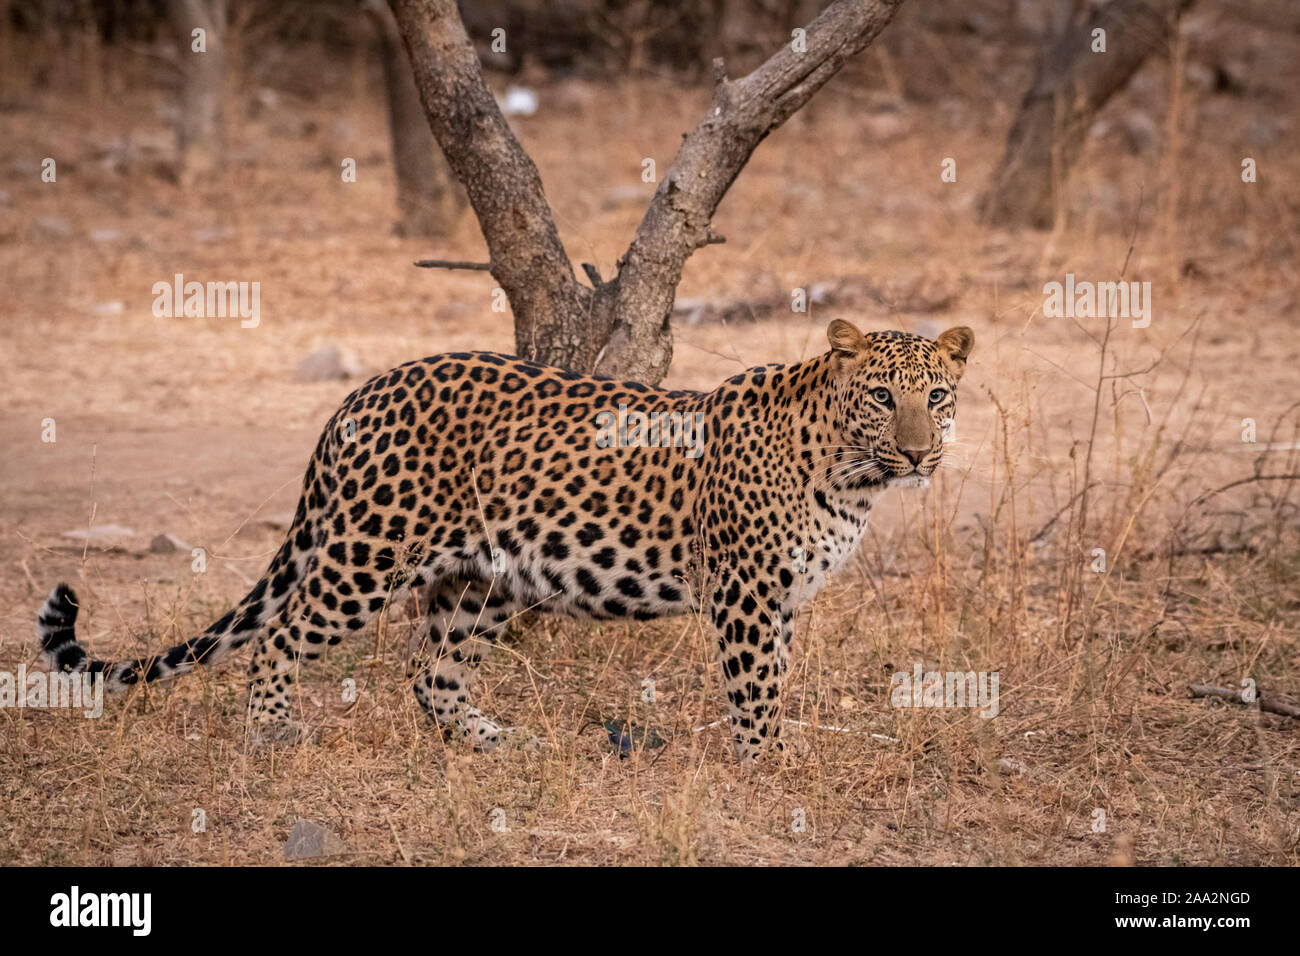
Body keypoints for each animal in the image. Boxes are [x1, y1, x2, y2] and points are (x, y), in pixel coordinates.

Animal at [35, 321, 972, 764]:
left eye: (937, 396)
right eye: (882, 396)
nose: (920, 453)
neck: (850, 474)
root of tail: (359, 393)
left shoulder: (780, 599)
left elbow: (772, 679)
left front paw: (773, 754)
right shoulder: (746, 593)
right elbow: (756, 687)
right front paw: (770, 763)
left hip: (479, 581)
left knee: (430, 671)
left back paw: (494, 742)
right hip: (367, 553)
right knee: (282, 634)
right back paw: (272, 733)